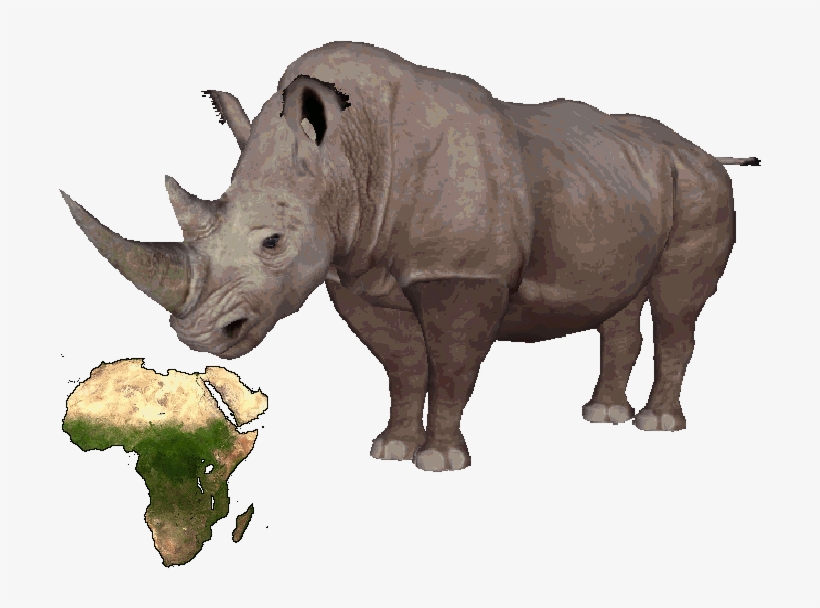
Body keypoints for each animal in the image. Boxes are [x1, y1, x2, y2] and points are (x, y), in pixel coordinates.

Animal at [62, 42, 759, 472]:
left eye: (273, 242)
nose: (200, 335)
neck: (346, 159)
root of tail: (701, 150)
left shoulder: (462, 274)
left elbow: (451, 366)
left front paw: (442, 462)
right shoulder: (356, 273)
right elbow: (402, 365)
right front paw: (391, 449)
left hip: (699, 185)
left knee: (677, 308)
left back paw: (657, 427)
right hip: (616, 184)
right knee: (619, 300)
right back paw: (603, 417)